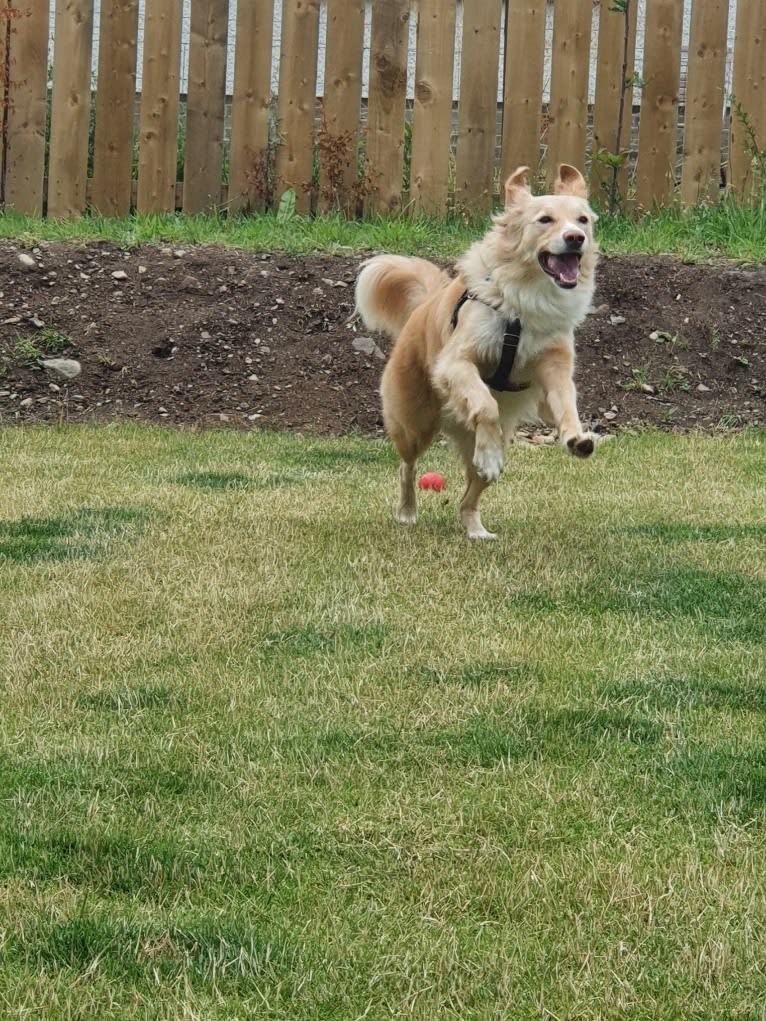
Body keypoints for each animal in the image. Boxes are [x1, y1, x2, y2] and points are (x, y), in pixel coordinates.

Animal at [357, 163, 604, 539]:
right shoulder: (456, 362)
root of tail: (425, 303)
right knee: (407, 467)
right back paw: (409, 510)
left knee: (468, 497)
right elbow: (485, 404)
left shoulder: (555, 366)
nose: (576, 237)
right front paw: (488, 454)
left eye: (583, 220)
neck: (526, 299)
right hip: (414, 425)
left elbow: (565, 403)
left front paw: (577, 438)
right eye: (545, 220)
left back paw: (476, 529)